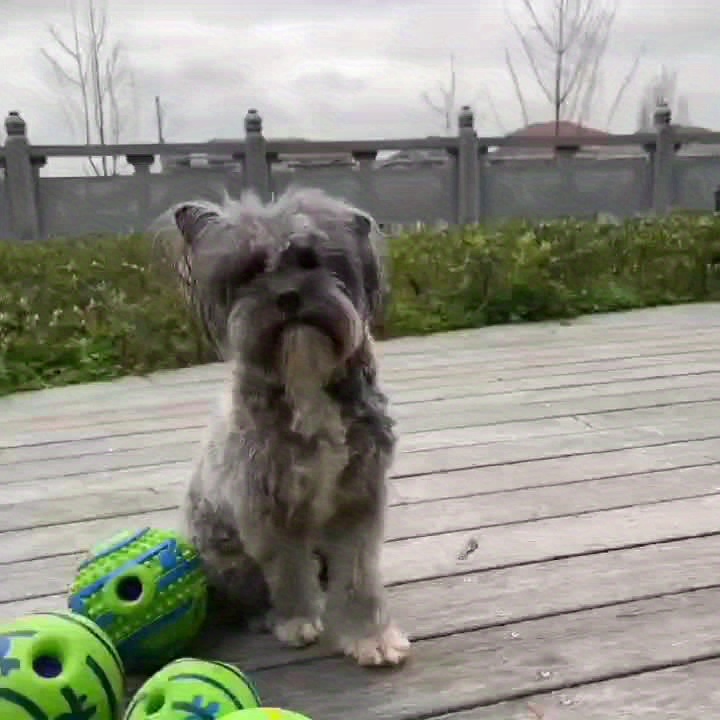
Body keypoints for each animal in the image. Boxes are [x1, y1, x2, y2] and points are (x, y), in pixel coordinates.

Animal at [158, 187, 410, 668]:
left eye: (311, 260)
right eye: (251, 271)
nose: (288, 296)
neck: (305, 377)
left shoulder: (358, 497)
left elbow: (358, 577)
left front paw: (371, 637)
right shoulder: (268, 504)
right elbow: (289, 569)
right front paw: (297, 620)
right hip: (224, 550)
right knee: (248, 592)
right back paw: (264, 615)